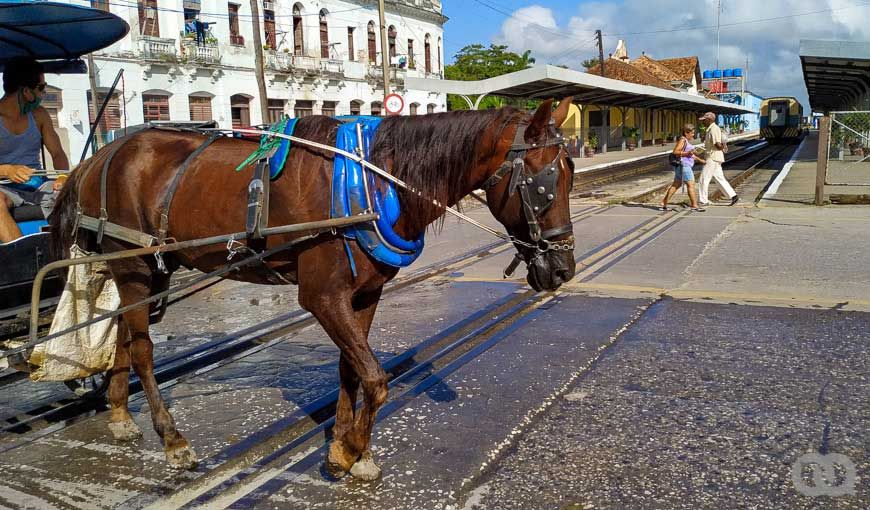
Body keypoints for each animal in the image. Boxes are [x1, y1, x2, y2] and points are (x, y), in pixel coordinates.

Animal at [47, 97, 580, 480]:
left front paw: (345, 448)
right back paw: (172, 439)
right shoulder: (322, 298)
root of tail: (101, 156)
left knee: (124, 331)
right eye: (542, 182)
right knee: (142, 348)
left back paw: (120, 415)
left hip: (154, 271)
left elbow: (352, 370)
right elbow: (376, 378)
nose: (563, 269)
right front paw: (354, 452)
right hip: (134, 266)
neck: (370, 182)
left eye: (570, 175)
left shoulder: (363, 295)